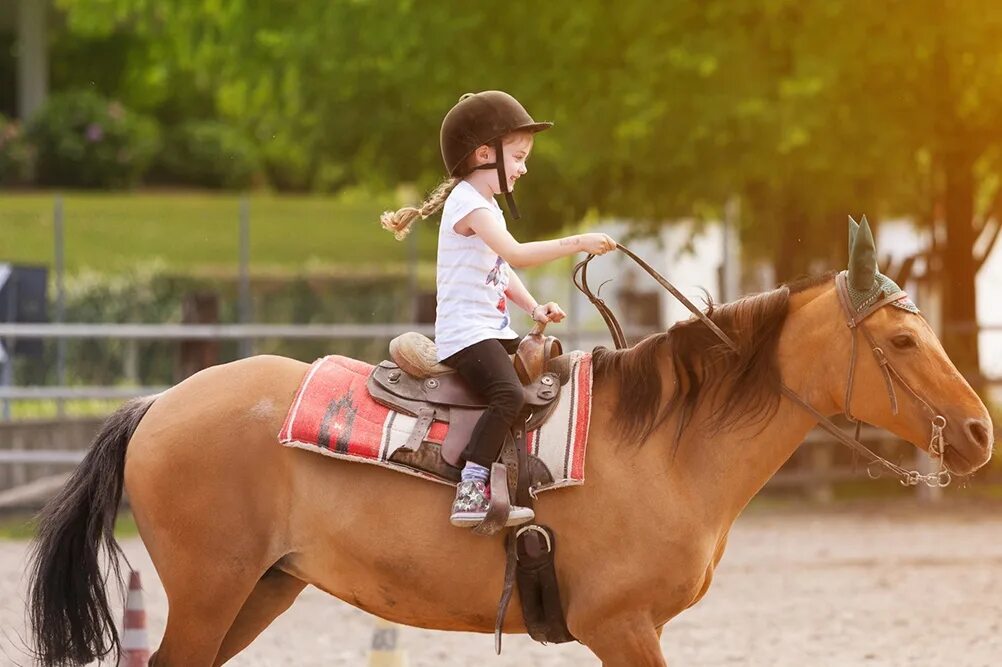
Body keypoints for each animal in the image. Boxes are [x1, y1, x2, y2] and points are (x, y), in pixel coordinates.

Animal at [27, 239, 989, 660]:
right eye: (902, 341)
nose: (982, 431)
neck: (664, 448)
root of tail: (159, 403)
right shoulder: (622, 626)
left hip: (259, 588)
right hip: (211, 590)